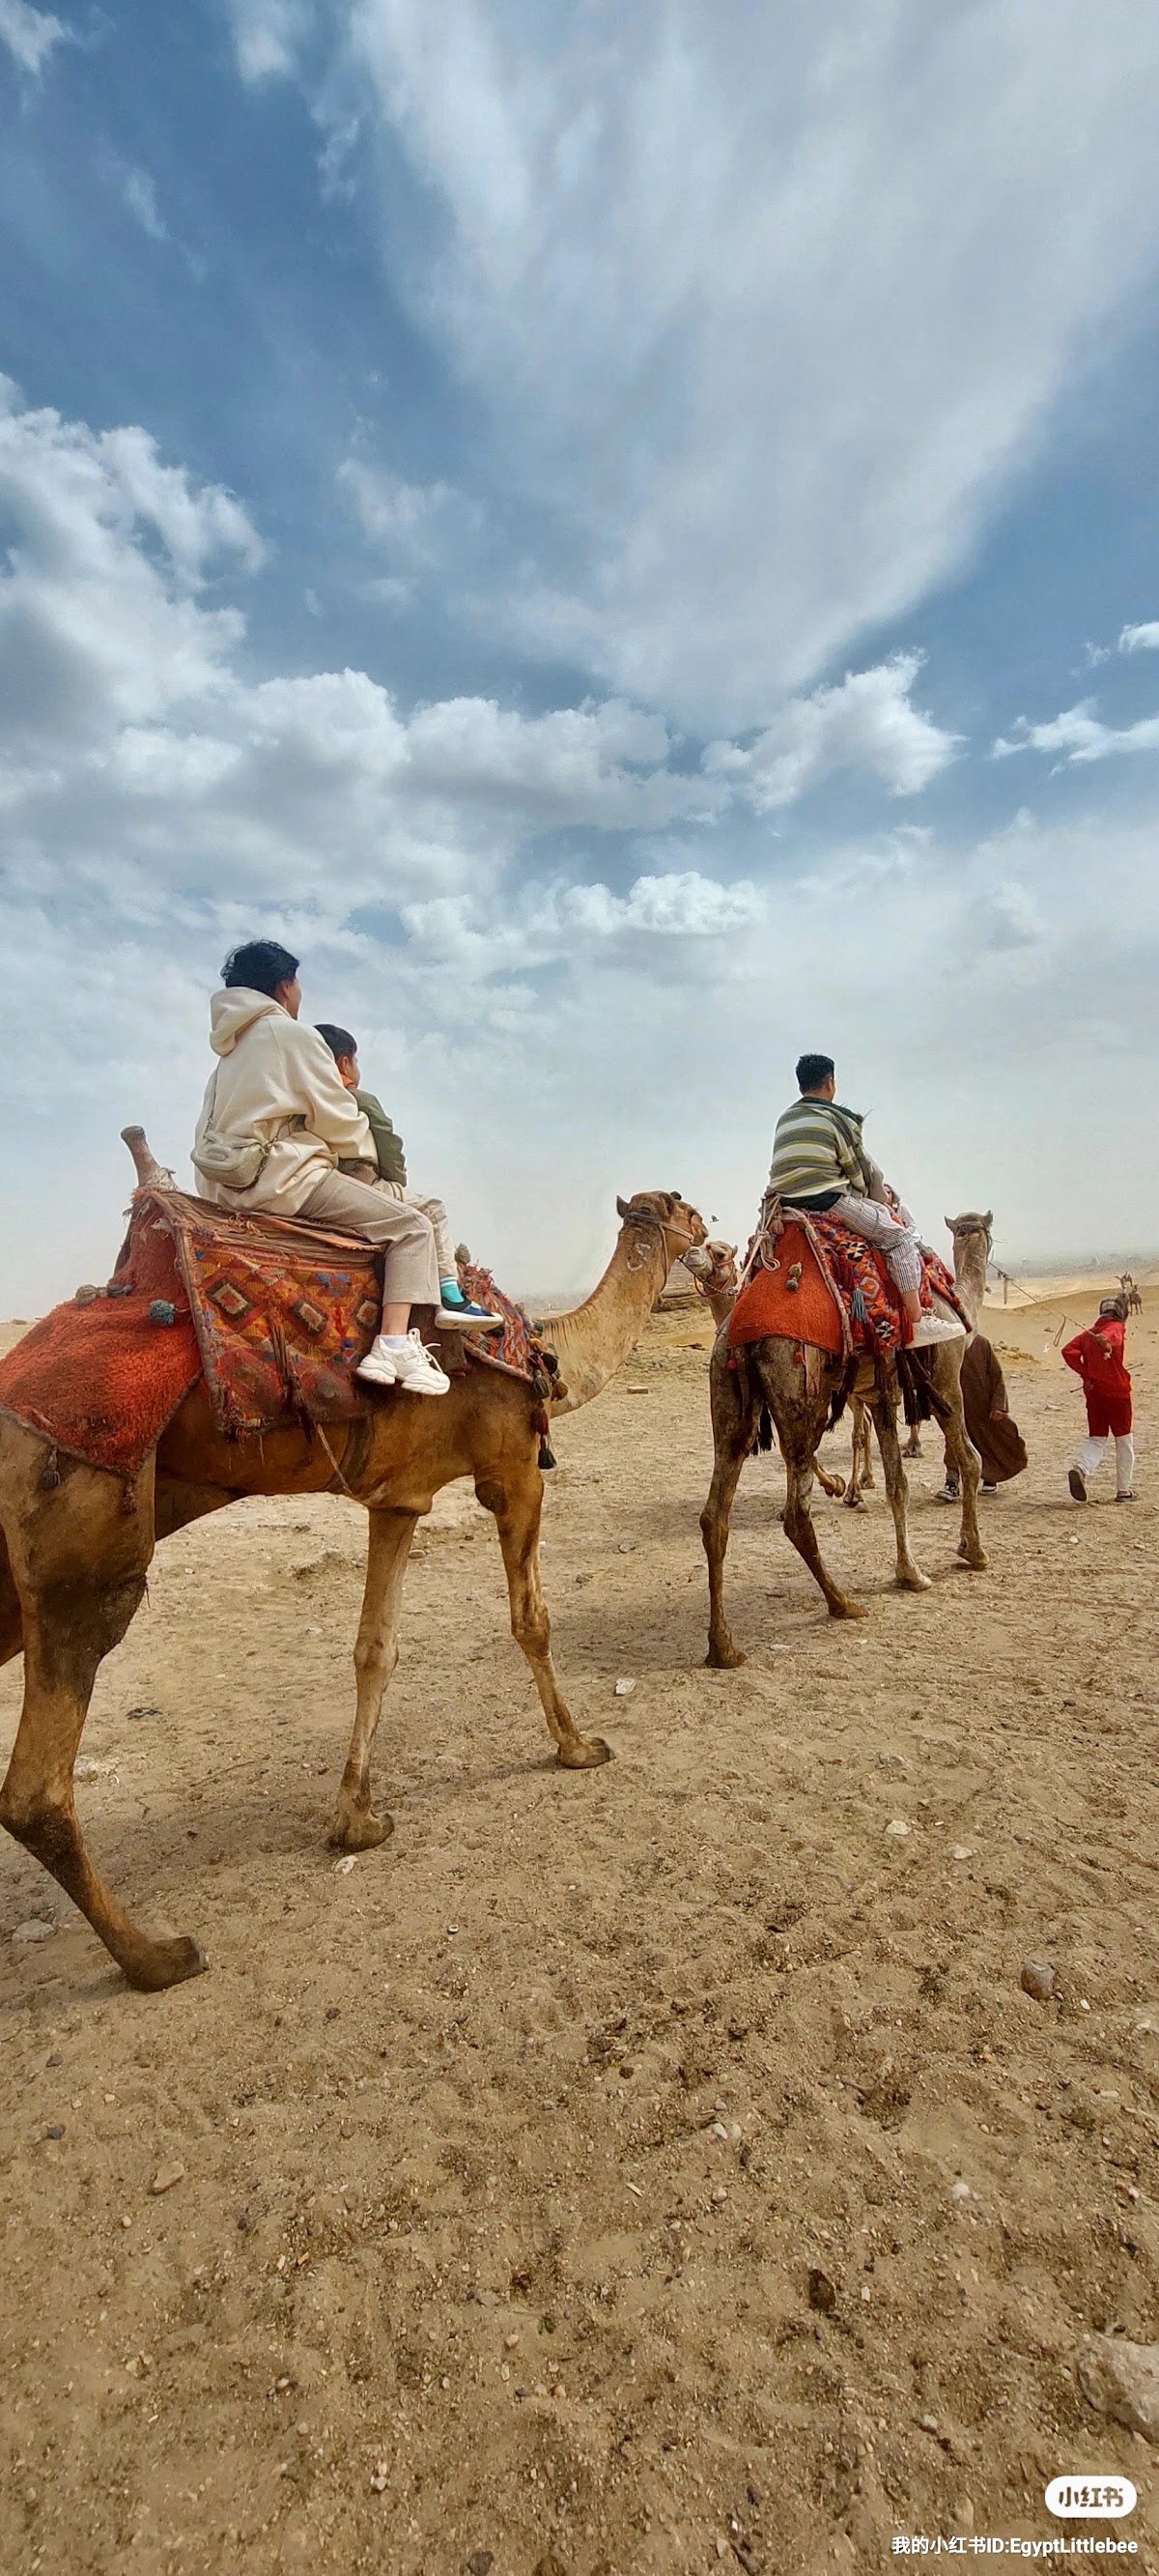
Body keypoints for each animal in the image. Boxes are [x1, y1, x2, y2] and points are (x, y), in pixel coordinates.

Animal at [0, 1148, 705, 1991]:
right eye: (686, 1206)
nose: (715, 1235)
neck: (547, 1353)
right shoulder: (512, 1469)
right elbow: (530, 1619)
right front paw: (577, 1747)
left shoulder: (398, 1499)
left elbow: (376, 1649)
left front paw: (355, 1819)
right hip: (82, 1535)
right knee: (36, 1787)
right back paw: (157, 1958)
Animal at [698, 1213, 986, 1652]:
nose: (693, 1255)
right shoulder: (945, 1378)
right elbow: (970, 1459)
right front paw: (971, 1550)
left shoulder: (880, 1392)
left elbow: (897, 1484)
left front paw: (909, 1571)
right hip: (801, 1387)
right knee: (797, 1514)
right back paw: (841, 1602)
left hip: (728, 1390)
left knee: (715, 1514)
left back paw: (723, 1646)